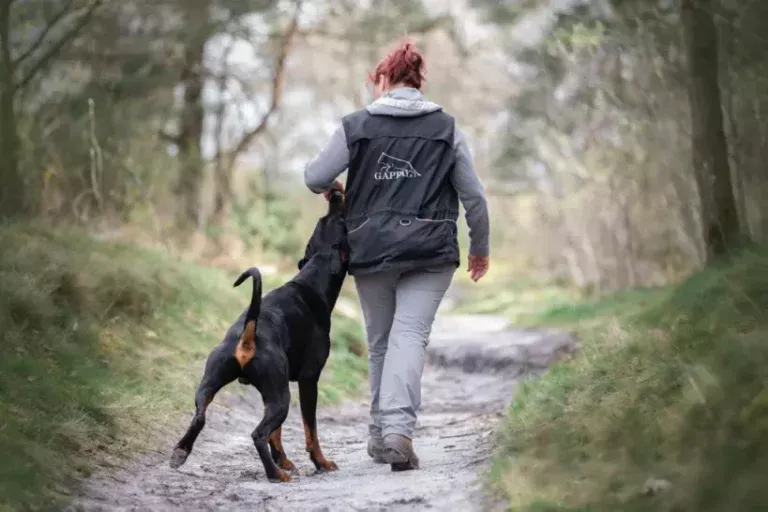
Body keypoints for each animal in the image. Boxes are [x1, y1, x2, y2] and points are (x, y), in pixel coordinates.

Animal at [171, 190, 348, 482]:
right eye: (341, 221)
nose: (334, 194)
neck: (311, 280)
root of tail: (249, 330)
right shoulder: (309, 380)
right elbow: (311, 431)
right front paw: (320, 462)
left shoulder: (274, 388)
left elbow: (277, 435)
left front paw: (284, 460)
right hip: (282, 399)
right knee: (257, 434)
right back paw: (275, 475)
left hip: (214, 381)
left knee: (200, 416)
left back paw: (180, 453)